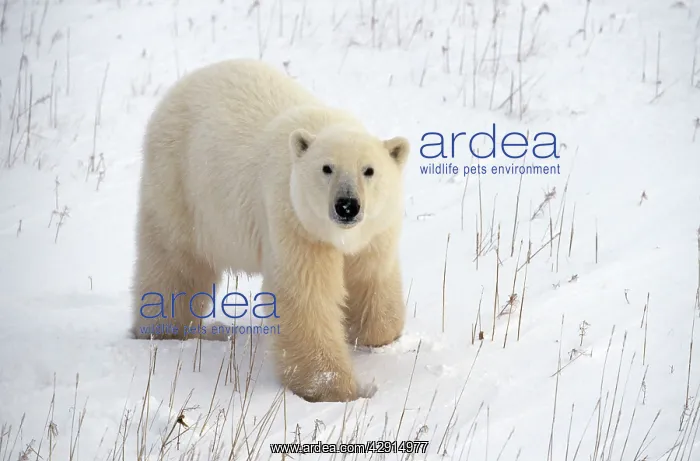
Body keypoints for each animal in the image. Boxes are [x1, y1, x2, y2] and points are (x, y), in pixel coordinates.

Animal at [131, 58, 410, 402]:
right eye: (327, 168)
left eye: (368, 170)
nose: (347, 205)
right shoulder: (294, 222)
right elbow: (305, 297)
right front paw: (331, 387)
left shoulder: (376, 231)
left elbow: (372, 277)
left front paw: (375, 334)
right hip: (178, 184)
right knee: (173, 262)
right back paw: (168, 329)